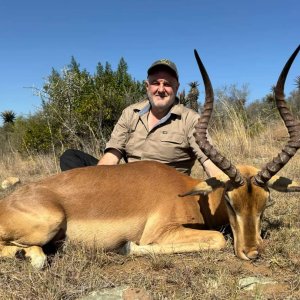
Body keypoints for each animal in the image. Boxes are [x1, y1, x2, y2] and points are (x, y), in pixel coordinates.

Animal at [0, 45, 298, 268]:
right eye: (230, 200)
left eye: (265, 202)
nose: (252, 252)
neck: (188, 195)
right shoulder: (161, 232)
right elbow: (217, 238)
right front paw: (128, 247)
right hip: (49, 223)